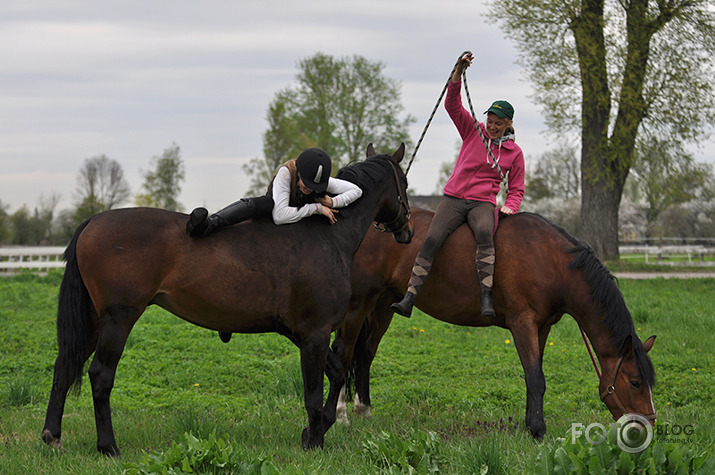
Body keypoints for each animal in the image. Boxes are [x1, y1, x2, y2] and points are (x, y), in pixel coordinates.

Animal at [40, 143, 414, 456]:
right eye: (406, 184)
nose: (407, 231)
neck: (325, 236)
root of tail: (93, 221)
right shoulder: (315, 334)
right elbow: (312, 394)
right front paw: (315, 440)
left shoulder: (302, 334)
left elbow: (336, 374)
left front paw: (317, 429)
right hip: (119, 319)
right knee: (100, 375)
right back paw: (108, 447)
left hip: (95, 320)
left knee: (64, 366)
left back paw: (52, 435)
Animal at [338, 208, 656, 438]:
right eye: (635, 382)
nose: (647, 427)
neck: (550, 260)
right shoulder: (522, 322)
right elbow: (535, 377)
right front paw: (538, 431)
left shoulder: (542, 327)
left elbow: (533, 375)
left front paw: (530, 424)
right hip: (358, 304)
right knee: (343, 352)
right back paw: (341, 415)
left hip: (383, 304)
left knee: (364, 354)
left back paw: (363, 409)